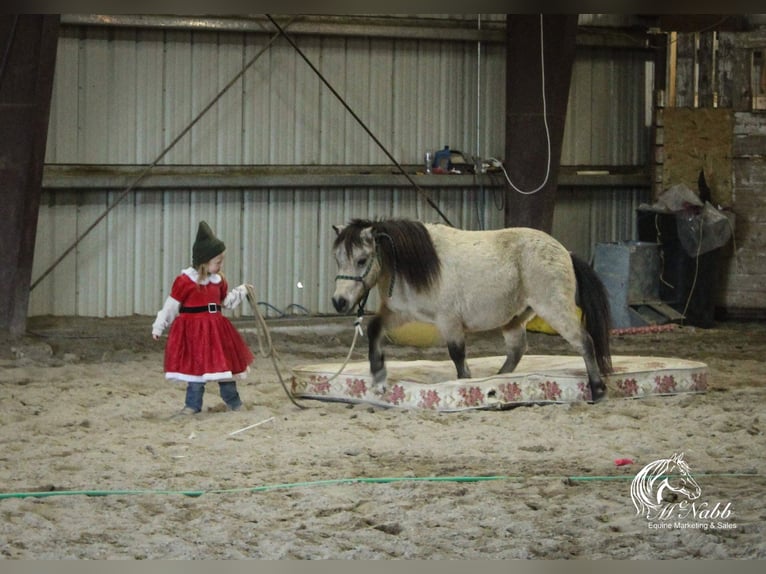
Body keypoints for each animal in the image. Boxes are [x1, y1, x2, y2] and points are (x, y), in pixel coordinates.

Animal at [332, 218, 616, 402]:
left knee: (584, 341)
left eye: (362, 260)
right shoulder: (402, 315)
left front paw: (464, 387)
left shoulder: (449, 322)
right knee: (517, 350)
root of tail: (565, 251)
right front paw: (378, 377)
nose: (339, 302)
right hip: (514, 319)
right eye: (338, 259)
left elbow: (458, 356)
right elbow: (374, 329)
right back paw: (498, 381)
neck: (414, 265)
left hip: (553, 308)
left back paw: (598, 389)